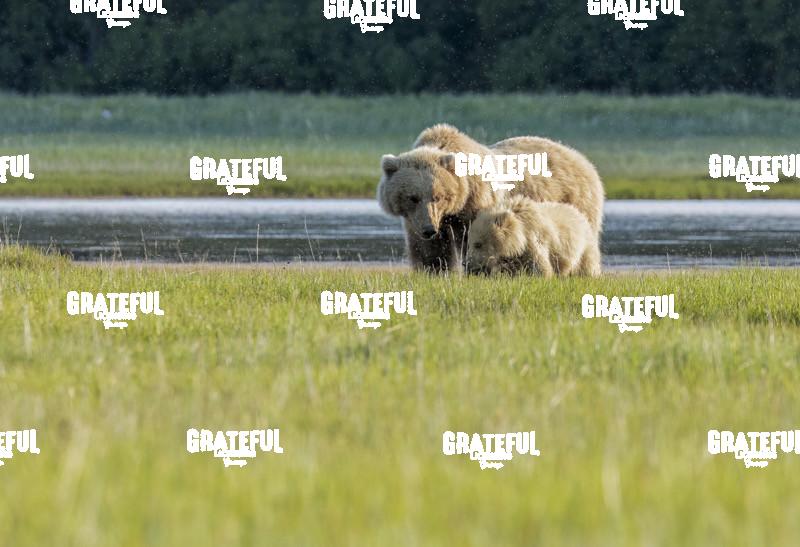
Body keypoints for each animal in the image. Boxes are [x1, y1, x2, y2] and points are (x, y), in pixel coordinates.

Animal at [466, 195, 601, 277]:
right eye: (469, 243)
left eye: (478, 244)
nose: (467, 264)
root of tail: (581, 214)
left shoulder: (534, 237)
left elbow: (540, 266)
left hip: (584, 248)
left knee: (587, 265)